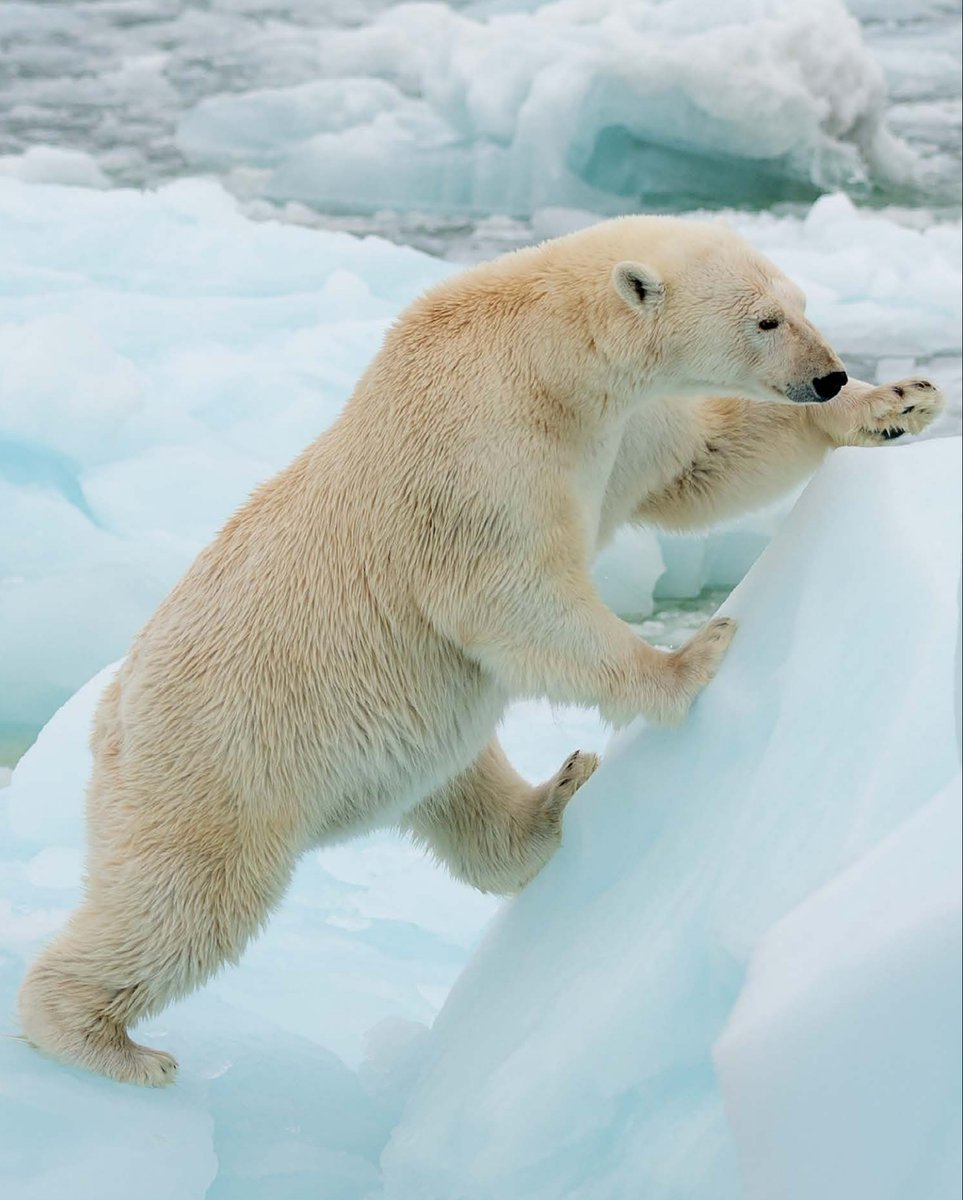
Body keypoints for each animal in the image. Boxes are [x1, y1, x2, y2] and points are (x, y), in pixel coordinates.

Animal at [18, 215, 944, 1086]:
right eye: (764, 321)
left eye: (800, 302)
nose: (827, 373)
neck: (542, 357)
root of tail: (110, 714)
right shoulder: (480, 451)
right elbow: (508, 594)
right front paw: (689, 660)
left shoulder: (615, 431)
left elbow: (699, 462)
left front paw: (900, 401)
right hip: (218, 763)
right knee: (187, 900)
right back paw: (101, 1041)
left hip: (393, 746)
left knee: (461, 792)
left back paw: (558, 793)